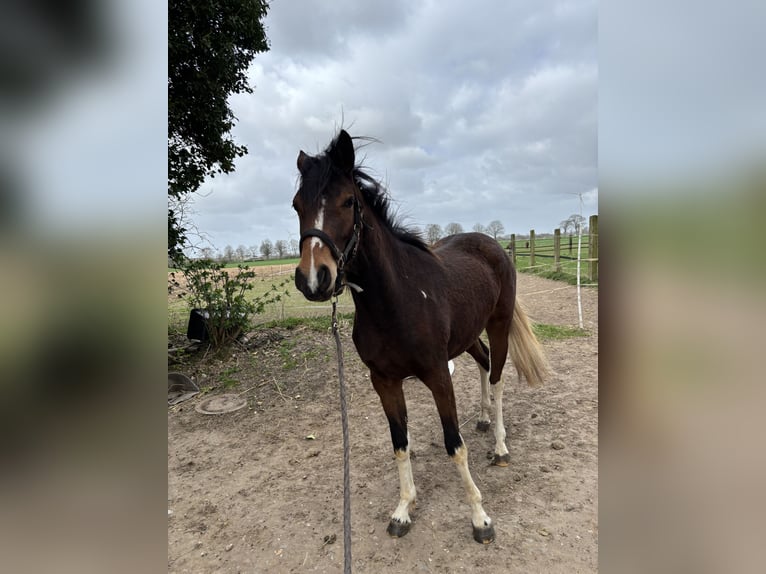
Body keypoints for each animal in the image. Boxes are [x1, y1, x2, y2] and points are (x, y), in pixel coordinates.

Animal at [291, 130, 549, 544]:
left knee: (497, 377)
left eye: (348, 201)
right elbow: (400, 445)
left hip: (498, 324)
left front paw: (480, 518)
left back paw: (500, 445)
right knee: (484, 362)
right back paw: (482, 419)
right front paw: (403, 510)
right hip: (468, 336)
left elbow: (454, 445)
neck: (397, 300)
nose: (314, 279)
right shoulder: (384, 381)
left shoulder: (438, 375)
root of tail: (493, 244)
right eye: (297, 204)